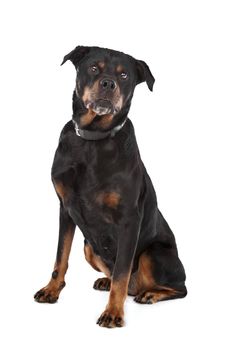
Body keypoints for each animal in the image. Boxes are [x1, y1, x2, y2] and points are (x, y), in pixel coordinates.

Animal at [34, 45, 187, 328]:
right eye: (94, 68)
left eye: (124, 75)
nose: (108, 83)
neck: (93, 140)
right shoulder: (65, 209)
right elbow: (61, 256)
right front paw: (51, 290)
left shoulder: (129, 220)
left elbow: (122, 273)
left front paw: (113, 313)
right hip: (88, 247)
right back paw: (107, 281)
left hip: (154, 254)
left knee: (177, 288)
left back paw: (150, 293)